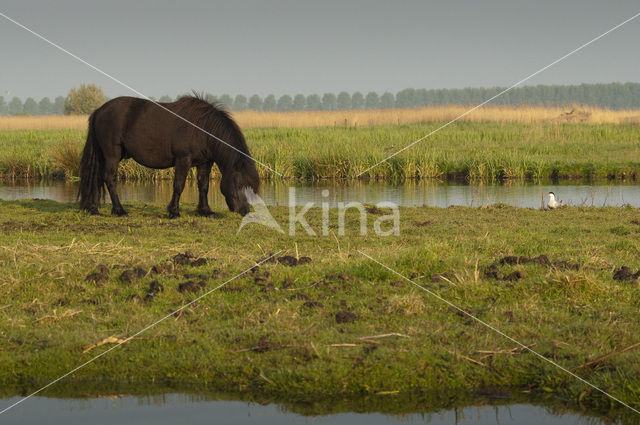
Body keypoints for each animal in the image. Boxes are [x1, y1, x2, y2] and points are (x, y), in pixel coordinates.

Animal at [79, 95, 258, 217]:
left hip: (104, 156)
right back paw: (119, 210)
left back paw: (93, 208)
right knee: (109, 178)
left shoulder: (205, 162)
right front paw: (174, 212)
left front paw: (206, 211)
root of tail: (100, 110)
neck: (202, 129)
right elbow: (179, 185)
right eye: (240, 184)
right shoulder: (183, 160)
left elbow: (204, 186)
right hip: (112, 155)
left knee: (97, 177)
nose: (245, 210)